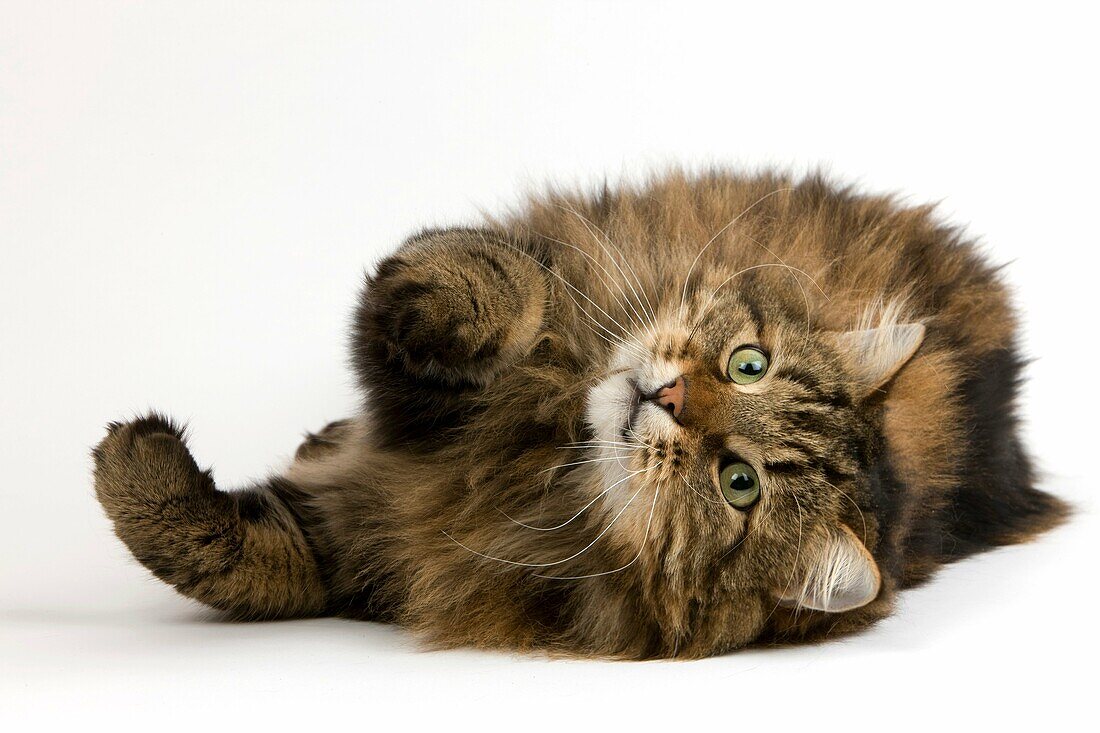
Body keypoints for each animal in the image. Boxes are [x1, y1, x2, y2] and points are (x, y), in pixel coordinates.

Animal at [90, 169, 1069, 655]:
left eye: (738, 482)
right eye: (748, 364)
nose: (670, 395)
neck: (546, 447)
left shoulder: (364, 544)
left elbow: (239, 553)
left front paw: (133, 459)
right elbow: (503, 277)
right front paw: (478, 311)